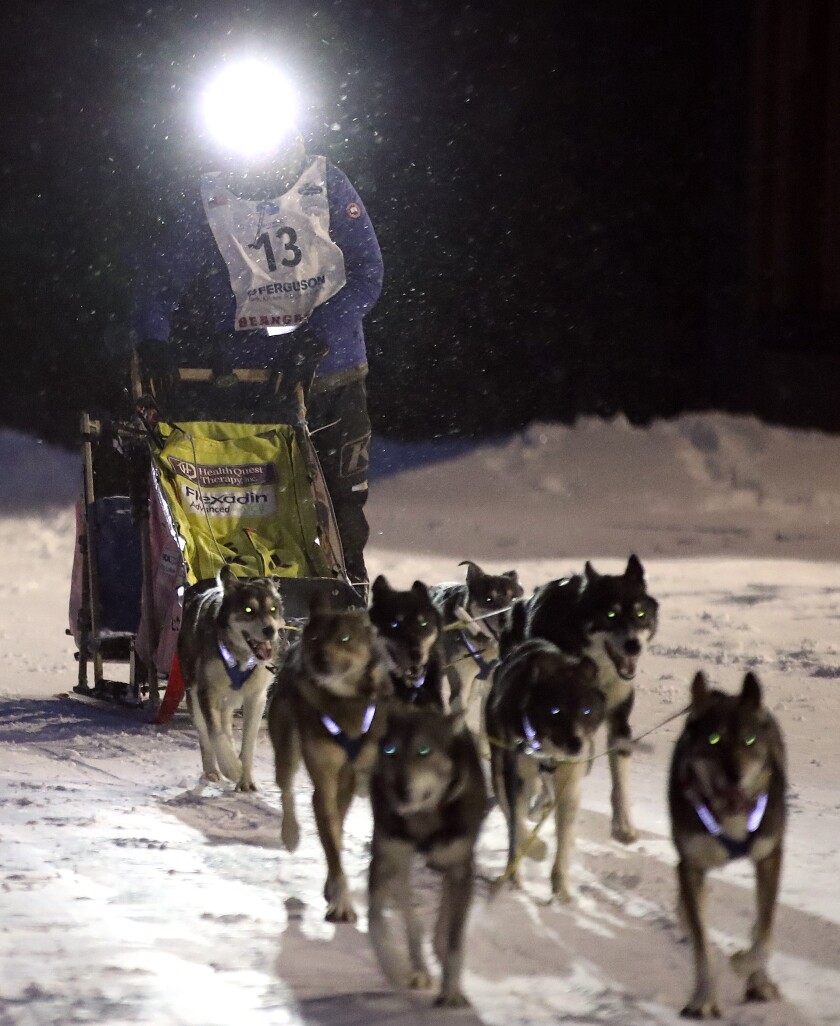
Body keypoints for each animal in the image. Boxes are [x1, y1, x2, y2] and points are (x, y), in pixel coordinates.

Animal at [179, 566, 287, 787]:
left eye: (273, 609)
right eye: (248, 610)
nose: (269, 630)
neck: (241, 657)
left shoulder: (256, 698)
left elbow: (248, 743)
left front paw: (245, 778)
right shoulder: (207, 692)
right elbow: (215, 733)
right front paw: (230, 767)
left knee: (226, 726)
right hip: (194, 694)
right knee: (206, 735)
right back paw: (212, 770)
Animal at [268, 590, 391, 927]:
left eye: (344, 638)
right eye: (315, 637)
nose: (318, 658)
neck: (345, 702)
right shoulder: (322, 783)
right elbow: (333, 847)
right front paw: (342, 904)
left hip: (346, 779)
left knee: (340, 813)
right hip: (287, 751)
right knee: (287, 789)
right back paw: (291, 833)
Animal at [486, 640, 603, 898]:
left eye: (587, 711)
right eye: (555, 711)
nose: (577, 744)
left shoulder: (569, 786)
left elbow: (564, 837)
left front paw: (561, 889)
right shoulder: (515, 779)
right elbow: (516, 827)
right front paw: (532, 855)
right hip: (502, 767)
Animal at [502, 558, 660, 845]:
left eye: (641, 615)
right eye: (610, 615)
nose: (633, 645)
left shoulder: (619, 720)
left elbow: (620, 778)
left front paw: (623, 825)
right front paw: (541, 801)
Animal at [668, 673, 787, 1017]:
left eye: (749, 739)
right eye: (713, 739)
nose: (735, 776)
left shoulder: (769, 857)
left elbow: (765, 934)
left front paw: (745, 967)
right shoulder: (691, 864)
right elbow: (702, 946)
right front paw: (702, 999)